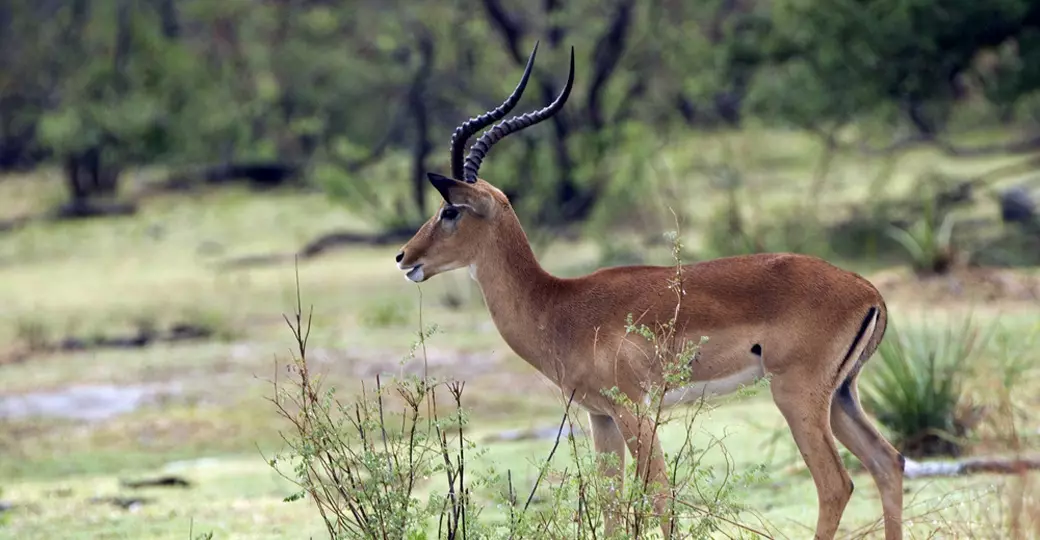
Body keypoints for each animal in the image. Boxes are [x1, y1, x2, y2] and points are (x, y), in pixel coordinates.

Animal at [395, 42, 905, 540]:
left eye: (450, 211)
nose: (404, 257)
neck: (558, 305)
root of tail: (869, 292)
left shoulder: (633, 411)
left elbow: (659, 496)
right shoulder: (600, 417)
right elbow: (612, 508)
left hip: (796, 395)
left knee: (836, 483)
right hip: (840, 396)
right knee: (889, 462)